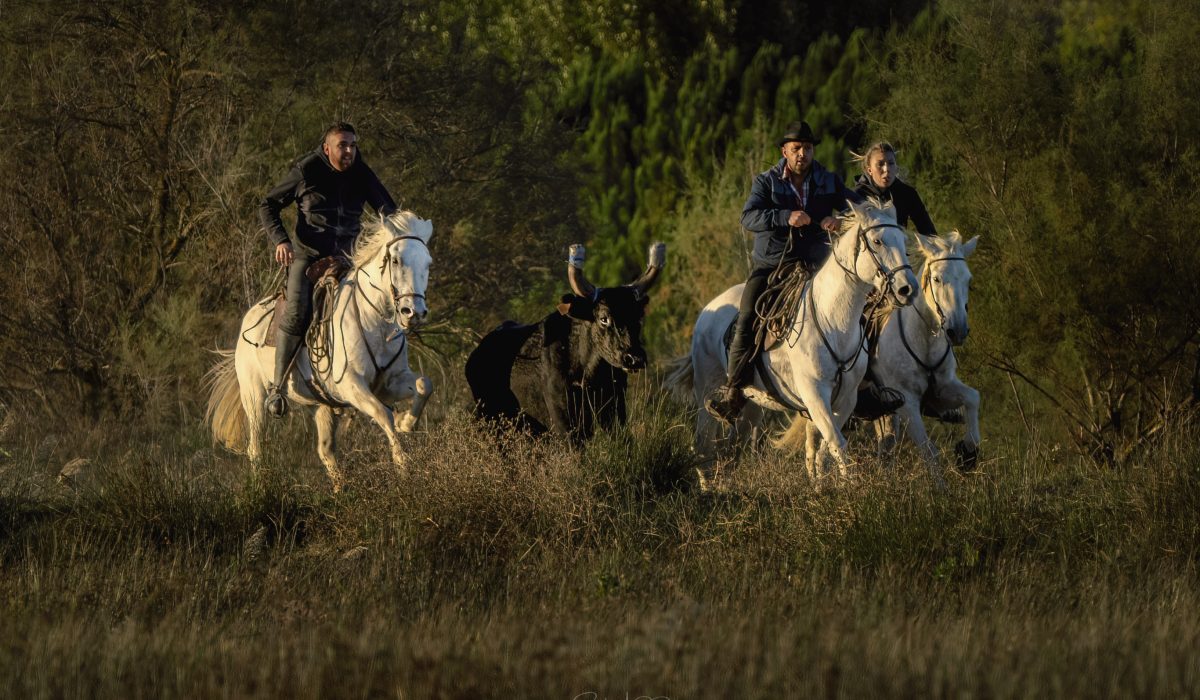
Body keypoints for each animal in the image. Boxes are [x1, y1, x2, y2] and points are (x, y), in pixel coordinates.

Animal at [206, 210, 434, 492]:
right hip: (254, 396)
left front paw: (407, 423)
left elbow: (424, 384)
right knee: (255, 448)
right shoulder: (351, 386)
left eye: (427, 263)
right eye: (395, 259)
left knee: (325, 450)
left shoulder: (391, 382)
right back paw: (261, 490)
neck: (374, 321)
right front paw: (404, 468)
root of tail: (249, 319)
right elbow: (383, 414)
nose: (414, 312)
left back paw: (341, 491)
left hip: (321, 405)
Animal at [465, 242, 666, 441]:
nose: (635, 358)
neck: (587, 374)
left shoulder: (616, 412)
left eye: (638, 317)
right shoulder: (565, 425)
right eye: (604, 318)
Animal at [674, 199, 918, 484]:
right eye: (877, 241)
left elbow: (823, 448)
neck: (831, 320)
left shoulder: (846, 398)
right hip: (707, 390)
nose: (908, 289)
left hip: (752, 406)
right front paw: (850, 486)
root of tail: (707, 311)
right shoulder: (815, 394)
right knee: (702, 447)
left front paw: (822, 486)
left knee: (733, 448)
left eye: (903, 239)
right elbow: (836, 443)